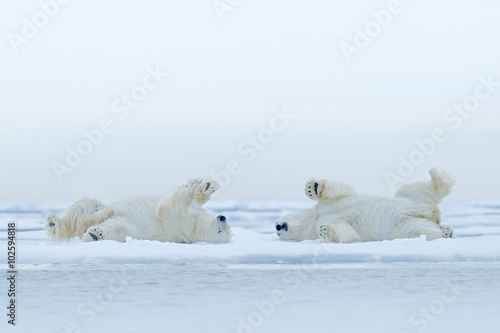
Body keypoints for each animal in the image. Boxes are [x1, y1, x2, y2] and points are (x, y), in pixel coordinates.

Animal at [44, 178, 231, 243]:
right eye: (227, 227)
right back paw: (54, 222)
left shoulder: (178, 224)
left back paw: (94, 233)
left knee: (115, 227)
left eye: (222, 231)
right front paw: (206, 185)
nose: (223, 217)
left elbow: (169, 206)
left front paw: (190, 189)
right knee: (86, 206)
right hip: (98, 208)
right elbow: (197, 199)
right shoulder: (194, 211)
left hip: (130, 228)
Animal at [276, 169, 456, 241]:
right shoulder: (323, 223)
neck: (313, 219)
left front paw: (312, 187)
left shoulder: (328, 206)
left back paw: (436, 176)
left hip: (410, 200)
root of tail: (433, 216)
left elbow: (339, 192)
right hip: (403, 227)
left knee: (415, 190)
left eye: (278, 221)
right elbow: (347, 231)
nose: (278, 226)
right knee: (420, 230)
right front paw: (325, 230)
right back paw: (446, 232)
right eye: (277, 231)